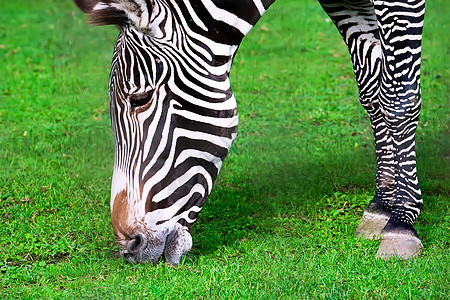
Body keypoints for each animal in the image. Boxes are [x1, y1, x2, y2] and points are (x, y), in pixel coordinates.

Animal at [73, 0, 426, 264]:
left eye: (141, 99)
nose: (129, 247)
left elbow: (397, 96)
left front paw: (401, 221)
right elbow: (372, 89)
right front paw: (382, 204)